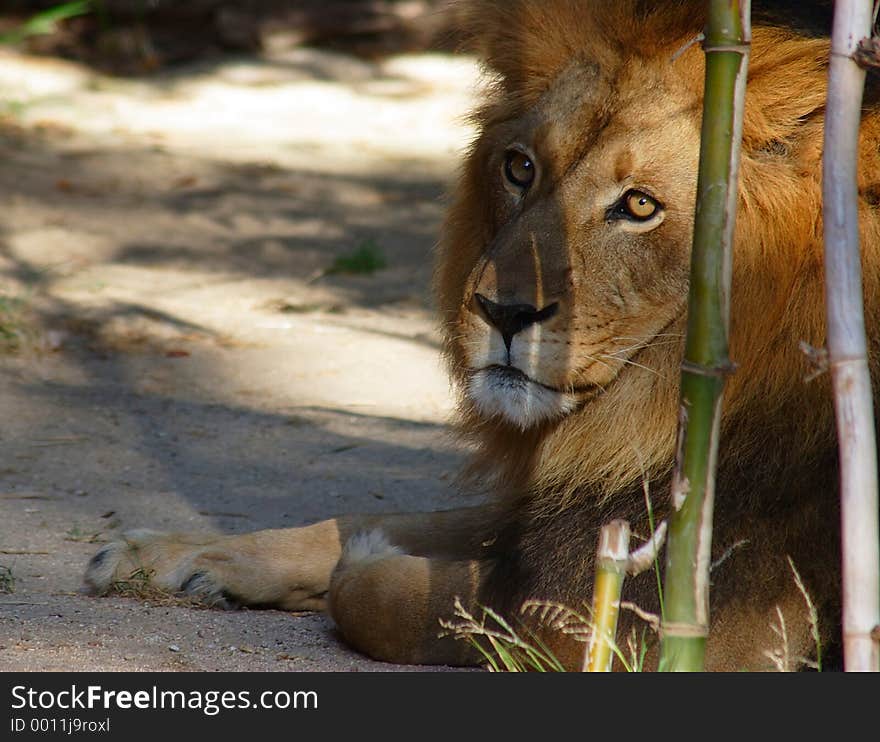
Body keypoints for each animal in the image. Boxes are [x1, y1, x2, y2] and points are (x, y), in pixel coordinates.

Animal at [84, 1, 880, 676]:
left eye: (639, 206)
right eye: (520, 167)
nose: (503, 312)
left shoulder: (706, 634)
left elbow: (387, 597)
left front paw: (364, 564)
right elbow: (368, 516)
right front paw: (165, 553)